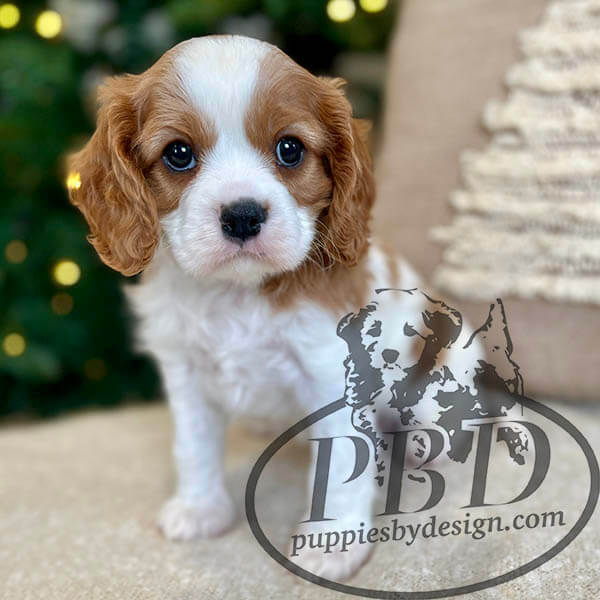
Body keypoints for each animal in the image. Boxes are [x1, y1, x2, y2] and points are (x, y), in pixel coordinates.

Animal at [68, 35, 481, 581]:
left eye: (290, 149)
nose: (242, 214)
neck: (237, 293)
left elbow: (341, 468)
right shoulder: (185, 373)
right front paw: (200, 508)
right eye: (178, 154)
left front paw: (333, 543)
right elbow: (193, 447)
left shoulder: (333, 379)